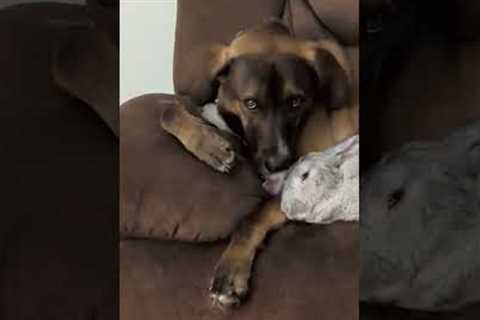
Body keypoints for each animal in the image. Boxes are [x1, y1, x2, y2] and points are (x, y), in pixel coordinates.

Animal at [159, 20, 358, 308]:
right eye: (251, 103)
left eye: (296, 101)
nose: (280, 163)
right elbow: (169, 110)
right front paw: (209, 146)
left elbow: (252, 219)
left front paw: (231, 269)